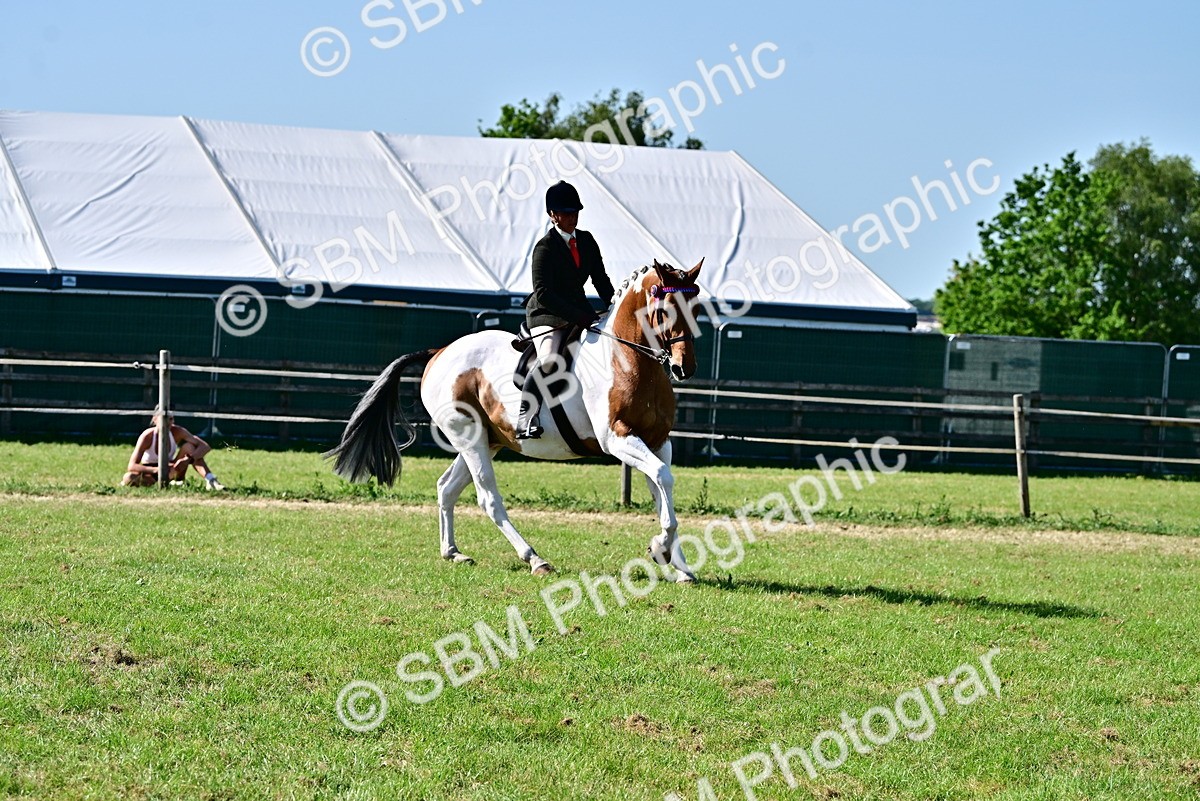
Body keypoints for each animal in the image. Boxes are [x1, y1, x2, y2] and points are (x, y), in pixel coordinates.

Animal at [326, 258, 705, 581]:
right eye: (664, 310)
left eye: (696, 308)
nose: (683, 368)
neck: (626, 359)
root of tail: (439, 353)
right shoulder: (618, 439)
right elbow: (662, 477)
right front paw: (660, 549)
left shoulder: (657, 441)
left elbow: (662, 489)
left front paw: (678, 565)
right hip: (470, 440)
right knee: (488, 499)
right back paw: (534, 558)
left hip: (487, 440)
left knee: (447, 487)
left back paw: (453, 552)